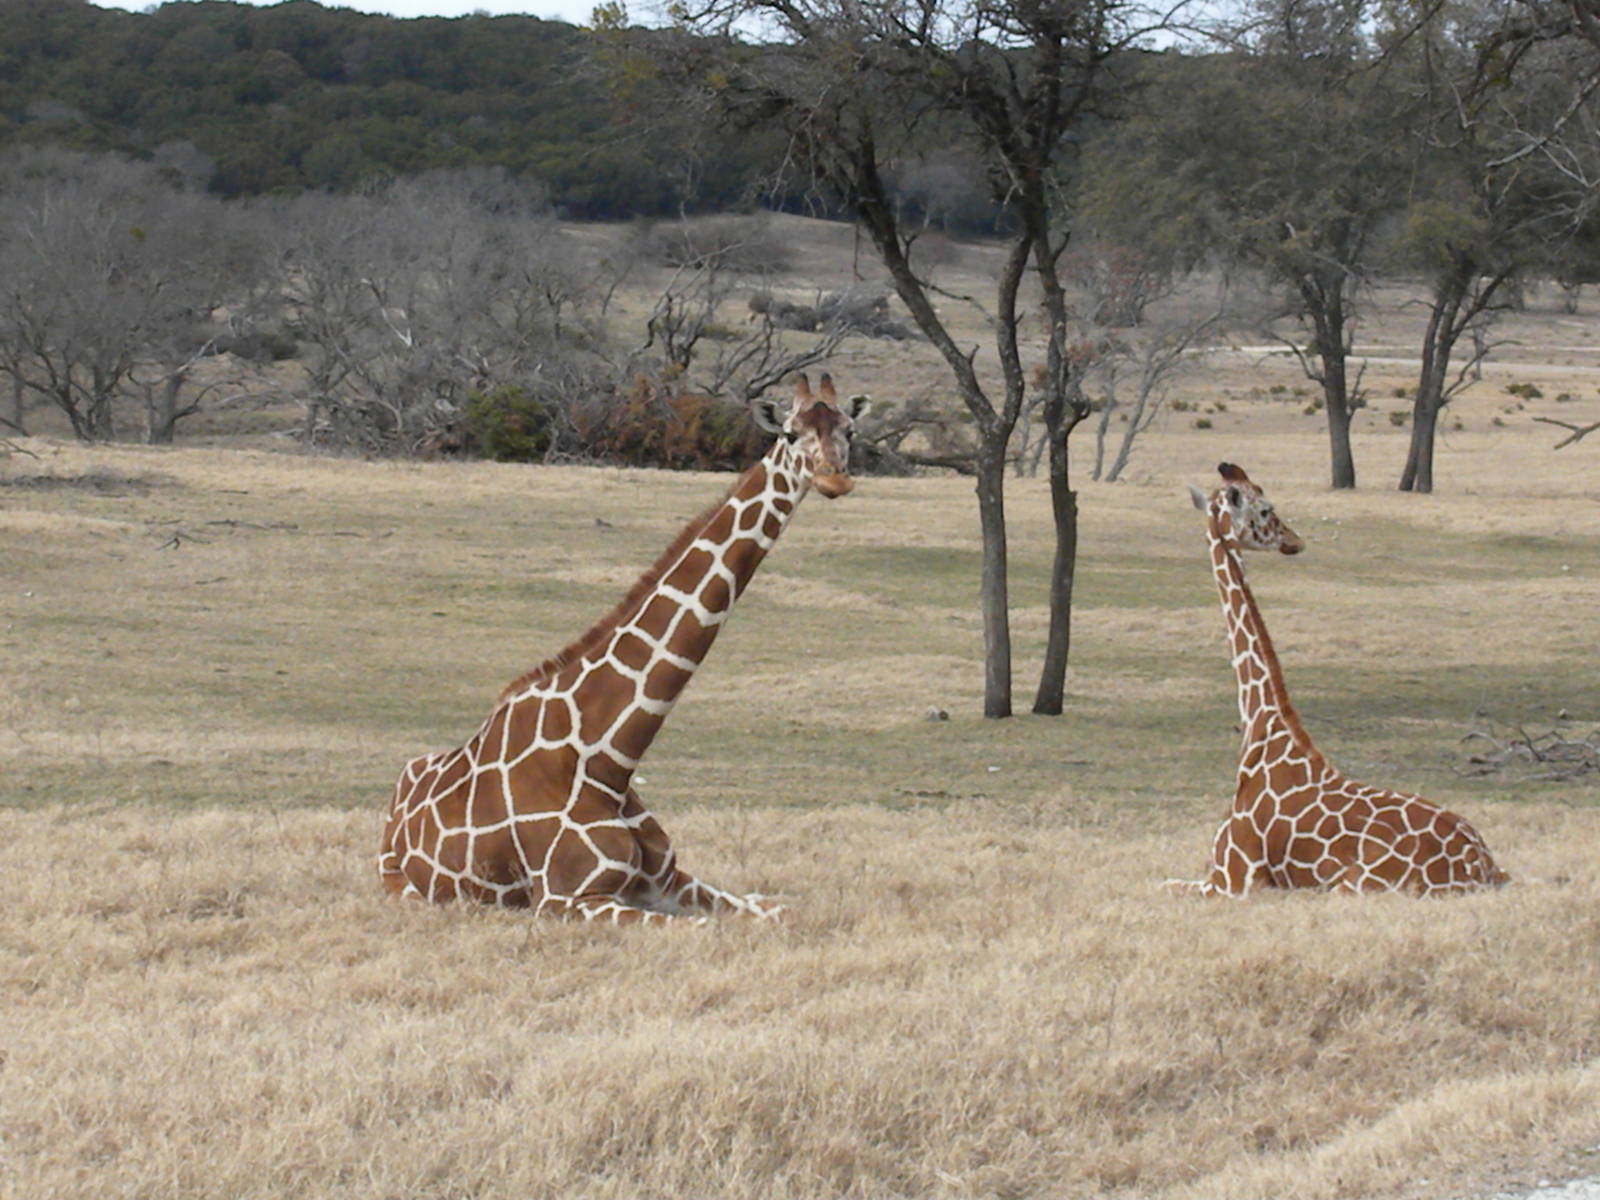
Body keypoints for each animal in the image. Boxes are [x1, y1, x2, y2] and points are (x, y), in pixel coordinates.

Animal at [379, 373, 870, 923]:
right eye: (789, 432)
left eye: (849, 429)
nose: (834, 479)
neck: (609, 760)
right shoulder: (566, 899)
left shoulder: (669, 881)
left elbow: (775, 911)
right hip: (406, 888)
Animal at [1168, 462, 1507, 897]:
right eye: (1266, 510)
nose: (1295, 540)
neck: (1260, 728)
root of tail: (1483, 867)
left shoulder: (1233, 880)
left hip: (1353, 885)